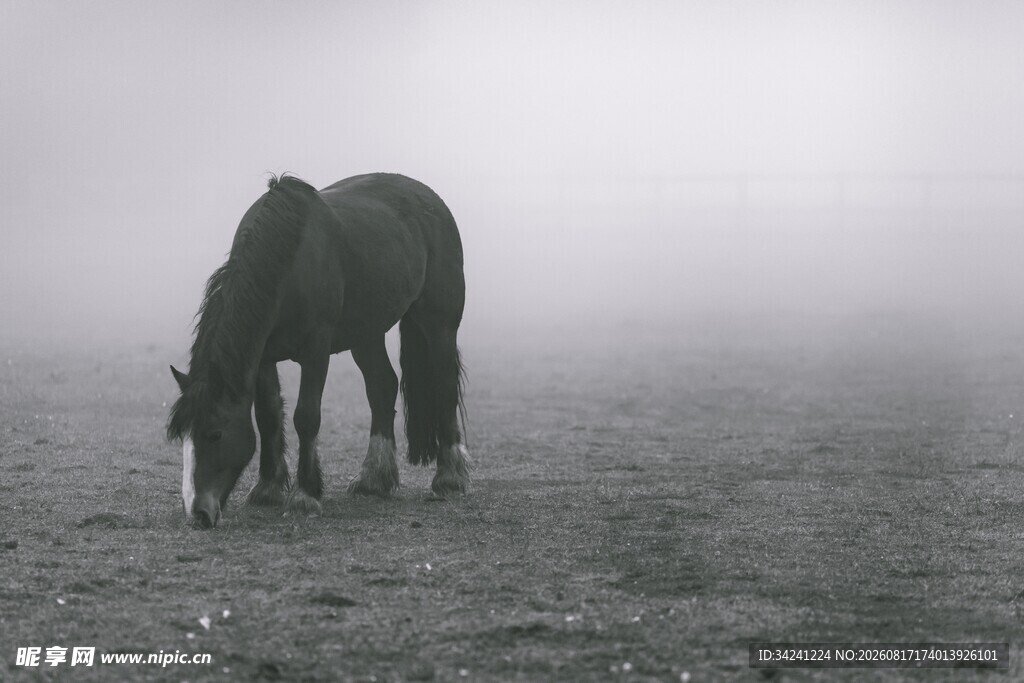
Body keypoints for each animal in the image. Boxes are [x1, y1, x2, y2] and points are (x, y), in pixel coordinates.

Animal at [166, 173, 469, 528]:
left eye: (215, 434)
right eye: (183, 437)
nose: (197, 512)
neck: (287, 262)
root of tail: (432, 201)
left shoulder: (316, 350)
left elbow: (306, 417)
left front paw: (304, 495)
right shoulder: (263, 356)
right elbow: (268, 416)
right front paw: (267, 488)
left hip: (439, 326)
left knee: (444, 387)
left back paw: (450, 477)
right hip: (366, 334)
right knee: (382, 387)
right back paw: (374, 479)